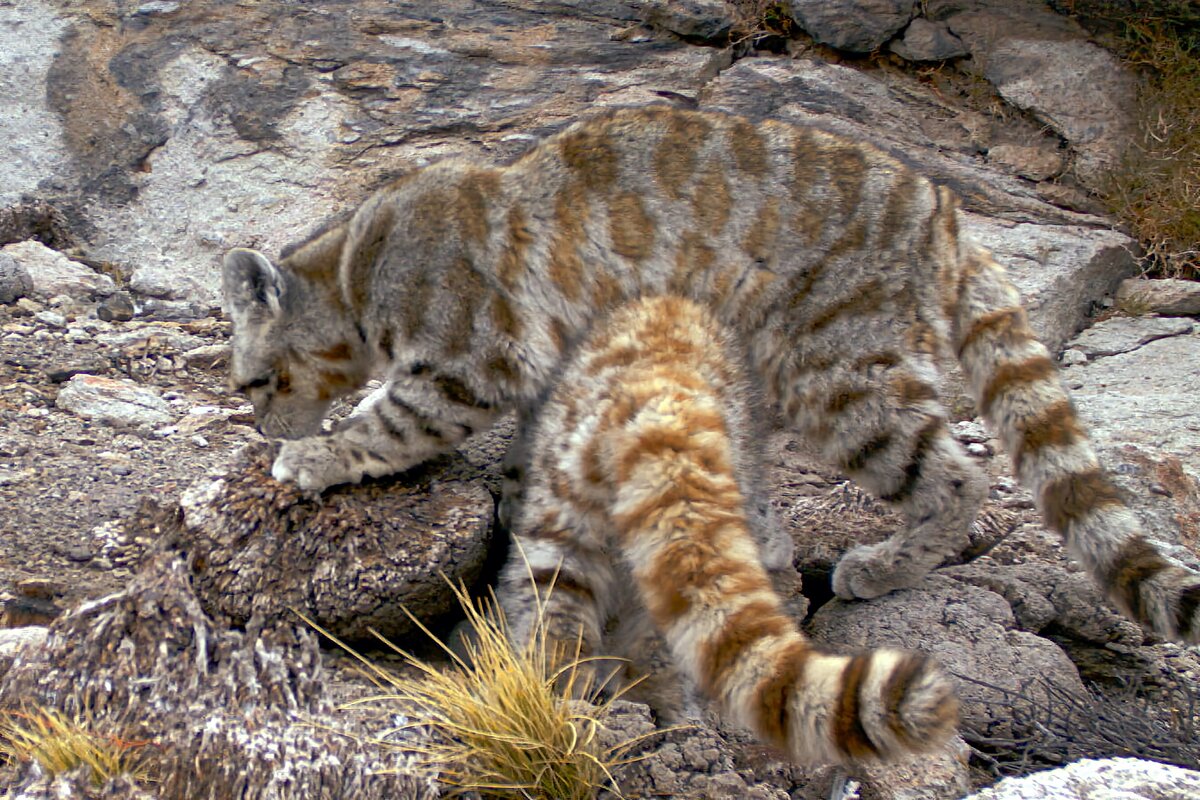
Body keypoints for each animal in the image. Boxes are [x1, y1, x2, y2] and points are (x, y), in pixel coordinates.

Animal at [223, 104, 1200, 652]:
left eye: (253, 384)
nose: (255, 424)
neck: (361, 268)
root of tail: (944, 208)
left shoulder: (470, 360)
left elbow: (392, 420)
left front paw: (314, 458)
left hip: (833, 377)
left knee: (961, 473)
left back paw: (879, 568)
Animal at [494, 296, 955, 762]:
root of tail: (654, 393)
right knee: (660, 642)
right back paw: (674, 718)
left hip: (564, 517)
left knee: (552, 616)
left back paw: (561, 698)